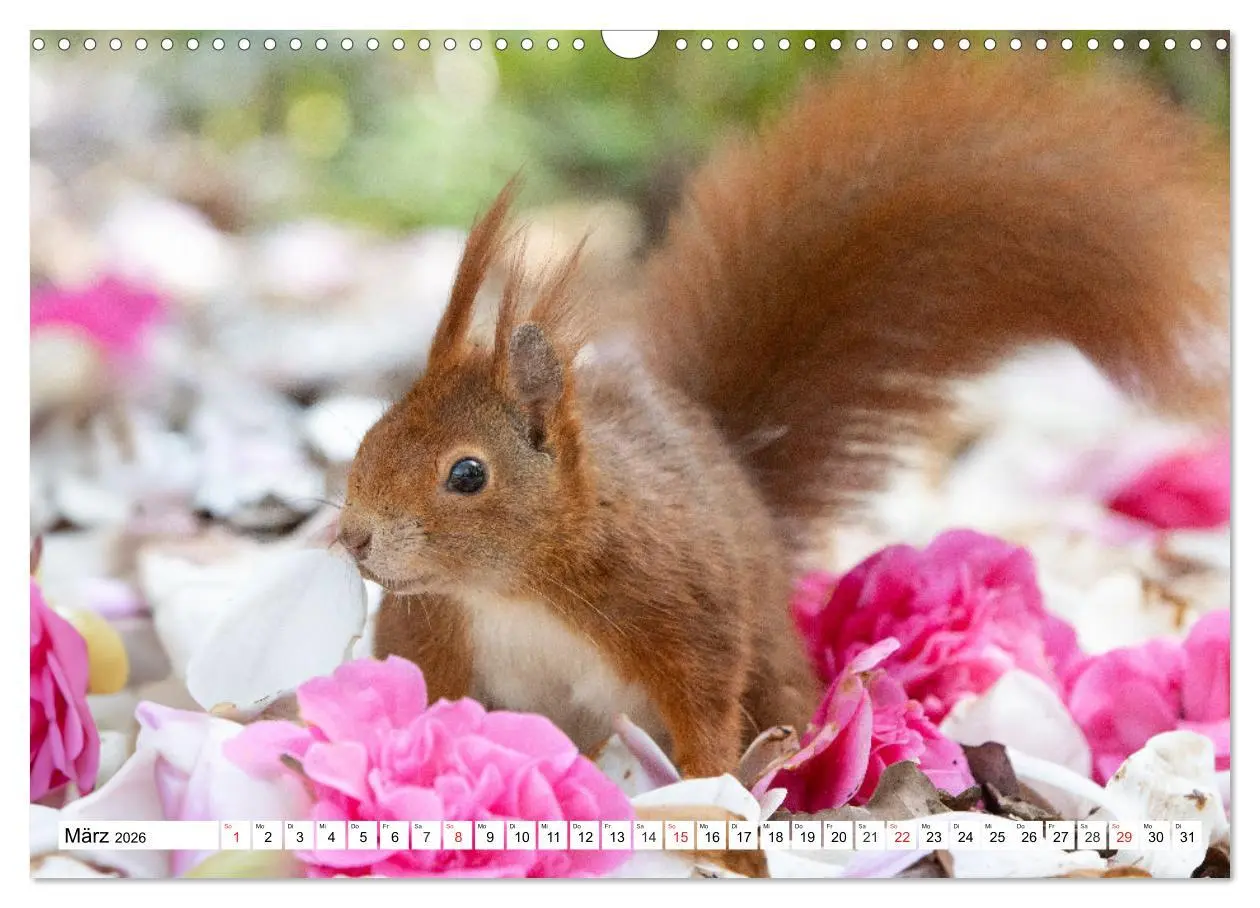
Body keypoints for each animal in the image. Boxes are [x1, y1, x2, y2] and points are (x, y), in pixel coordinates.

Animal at [336, 58, 1229, 780]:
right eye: (370, 437)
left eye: (467, 474)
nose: (353, 536)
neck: (514, 586)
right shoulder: (434, 635)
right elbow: (424, 697)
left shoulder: (679, 607)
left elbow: (703, 705)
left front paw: (714, 800)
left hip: (768, 654)